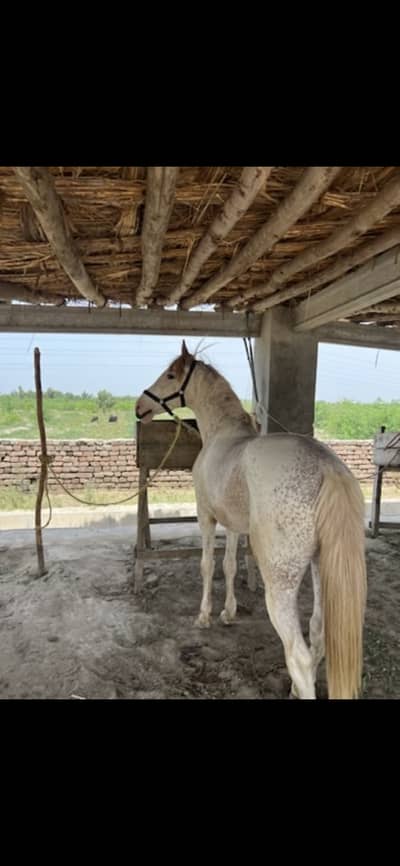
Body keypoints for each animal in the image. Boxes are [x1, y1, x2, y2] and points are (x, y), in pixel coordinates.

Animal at [136, 341, 367, 699]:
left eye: (171, 375)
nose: (139, 406)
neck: (222, 434)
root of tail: (327, 467)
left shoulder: (207, 516)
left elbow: (207, 565)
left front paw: (204, 616)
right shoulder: (232, 524)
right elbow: (230, 565)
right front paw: (228, 613)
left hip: (281, 584)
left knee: (299, 655)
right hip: (321, 567)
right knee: (317, 634)